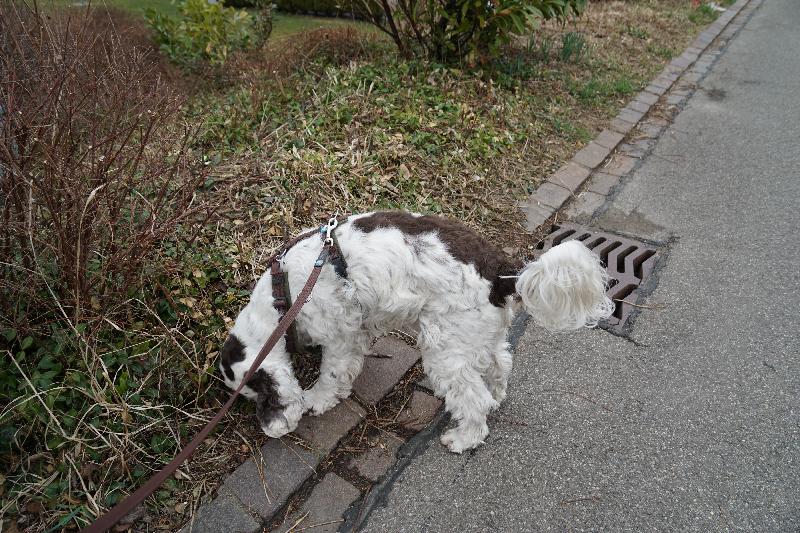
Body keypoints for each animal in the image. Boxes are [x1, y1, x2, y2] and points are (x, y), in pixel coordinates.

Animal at [219, 211, 613, 453]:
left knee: (473, 398)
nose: (269, 427)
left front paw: (316, 399)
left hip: (446, 348)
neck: (282, 293)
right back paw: (497, 397)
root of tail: (502, 273)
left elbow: (332, 374)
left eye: (258, 397)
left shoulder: (340, 336)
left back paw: (464, 438)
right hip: (476, 334)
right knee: (500, 364)